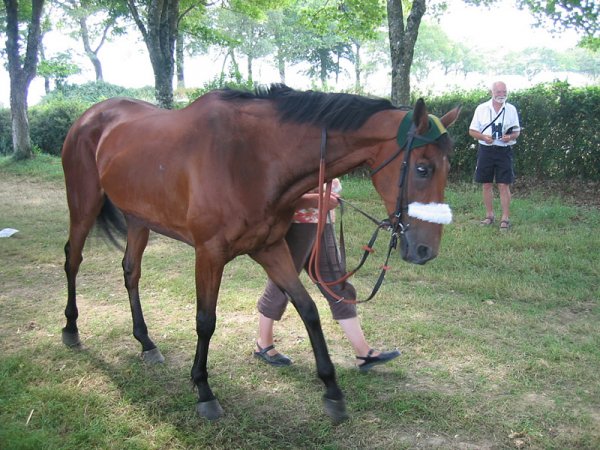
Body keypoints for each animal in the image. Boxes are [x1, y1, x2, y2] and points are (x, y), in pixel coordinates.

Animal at [61, 83, 460, 422]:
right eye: (422, 168)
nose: (425, 250)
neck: (252, 157)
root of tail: (89, 117)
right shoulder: (209, 254)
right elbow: (205, 321)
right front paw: (204, 390)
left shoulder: (270, 248)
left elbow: (308, 309)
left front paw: (332, 390)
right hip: (83, 206)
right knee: (72, 260)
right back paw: (71, 329)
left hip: (138, 219)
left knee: (131, 272)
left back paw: (145, 342)